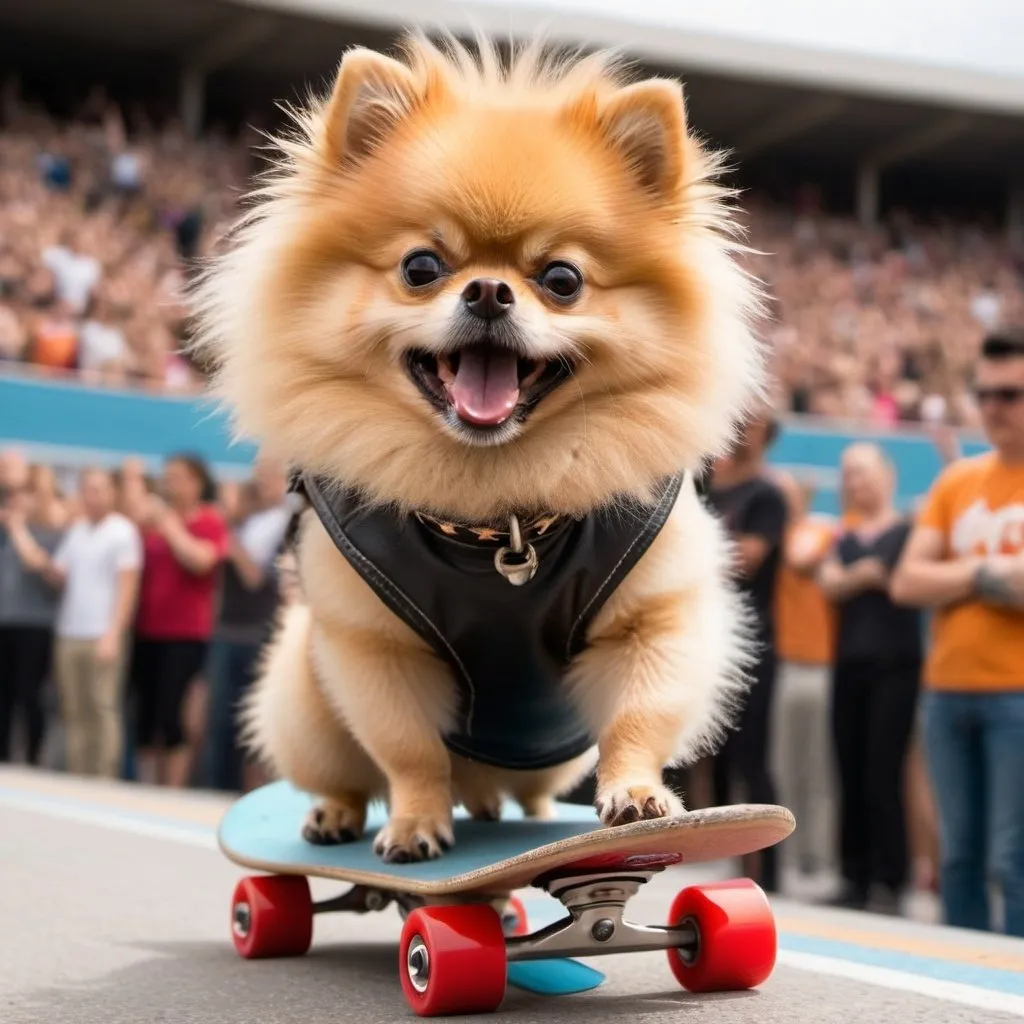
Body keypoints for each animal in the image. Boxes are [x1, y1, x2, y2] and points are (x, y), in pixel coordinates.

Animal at [195, 34, 765, 864]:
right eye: (421, 267)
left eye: (561, 279)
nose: (490, 292)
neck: (497, 520)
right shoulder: (374, 650)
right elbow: (407, 751)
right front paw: (414, 824)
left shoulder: (651, 622)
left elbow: (639, 716)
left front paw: (637, 795)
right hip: (303, 691)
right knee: (345, 772)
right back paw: (340, 815)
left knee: (528, 794)